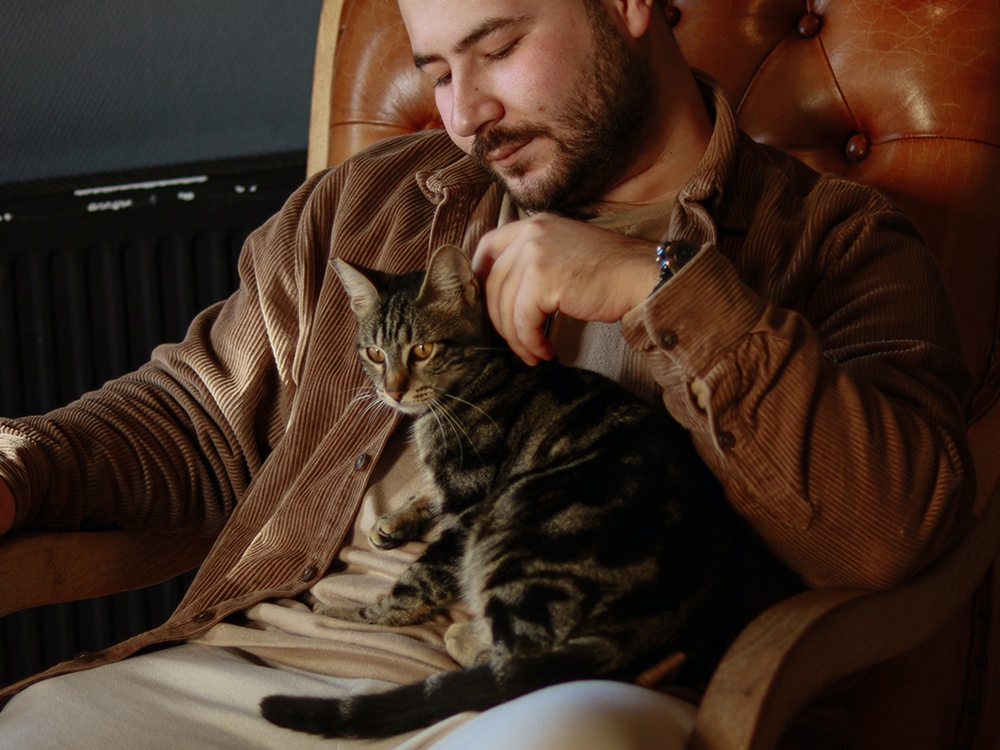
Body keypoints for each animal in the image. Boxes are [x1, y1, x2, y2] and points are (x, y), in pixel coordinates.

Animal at [262, 245, 732, 740]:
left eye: (422, 349)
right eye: (374, 353)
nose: (392, 391)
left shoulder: (469, 507)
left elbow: (412, 588)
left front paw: (344, 615)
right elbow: (429, 490)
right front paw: (396, 519)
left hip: (510, 527)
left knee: (516, 665)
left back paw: (463, 637)